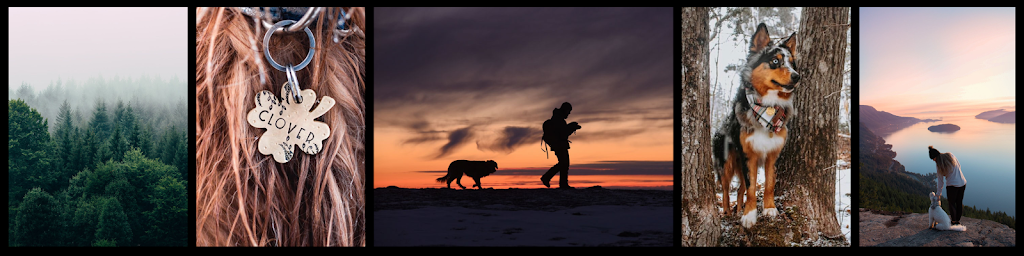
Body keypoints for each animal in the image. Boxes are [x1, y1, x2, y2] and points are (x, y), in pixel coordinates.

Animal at [712, 23, 798, 229]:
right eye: (775, 61)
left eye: (792, 63)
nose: (797, 76)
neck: (768, 108)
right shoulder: (747, 156)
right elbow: (752, 188)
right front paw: (749, 216)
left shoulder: (772, 155)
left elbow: (769, 184)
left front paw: (769, 209)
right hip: (726, 163)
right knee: (726, 188)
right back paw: (727, 211)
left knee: (739, 189)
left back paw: (738, 208)